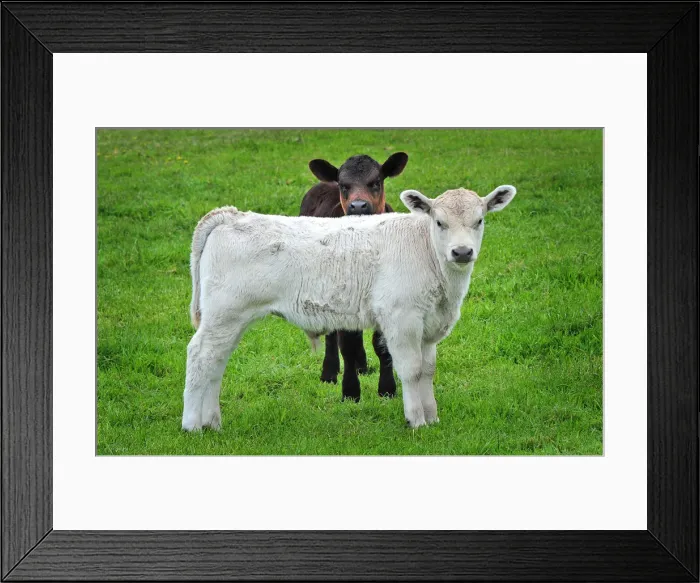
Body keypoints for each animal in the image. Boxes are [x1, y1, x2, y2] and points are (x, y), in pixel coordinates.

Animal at [183, 184, 517, 431]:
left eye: (479, 221)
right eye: (439, 222)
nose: (462, 252)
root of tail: (230, 215)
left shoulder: (429, 326)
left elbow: (428, 370)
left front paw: (432, 417)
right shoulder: (401, 319)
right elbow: (410, 370)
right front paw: (416, 421)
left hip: (230, 319)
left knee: (216, 362)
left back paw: (213, 422)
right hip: (224, 314)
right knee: (200, 356)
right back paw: (192, 425)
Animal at [299, 153, 408, 402]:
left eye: (376, 181)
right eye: (343, 185)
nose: (358, 205)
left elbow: (382, 344)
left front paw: (387, 389)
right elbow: (346, 344)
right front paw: (350, 391)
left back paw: (362, 366)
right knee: (334, 334)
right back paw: (329, 372)